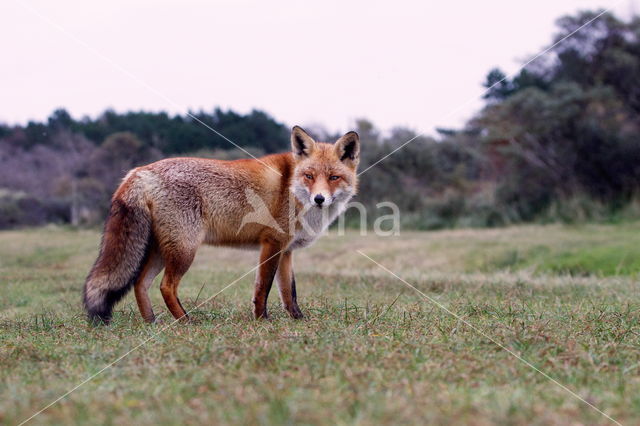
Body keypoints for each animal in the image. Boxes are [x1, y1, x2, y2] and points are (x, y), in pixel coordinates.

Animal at [82, 125, 360, 324]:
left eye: (334, 177)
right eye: (309, 176)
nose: (319, 199)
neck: (291, 187)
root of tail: (138, 171)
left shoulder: (286, 250)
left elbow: (288, 291)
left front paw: (298, 319)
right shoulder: (272, 243)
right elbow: (263, 287)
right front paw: (262, 320)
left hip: (162, 250)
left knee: (140, 284)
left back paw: (152, 323)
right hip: (184, 249)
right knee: (166, 286)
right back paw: (186, 321)